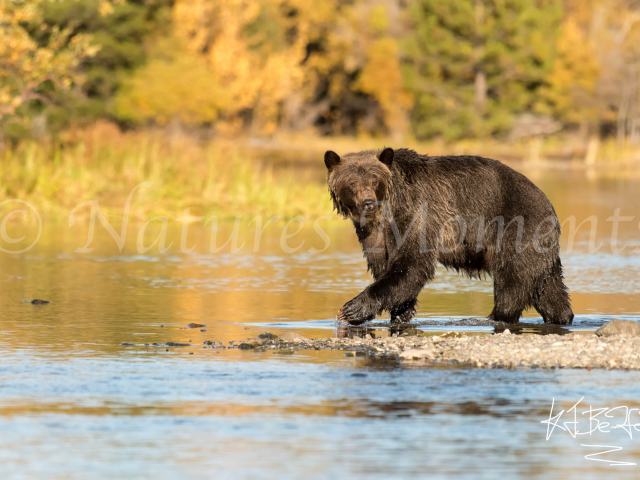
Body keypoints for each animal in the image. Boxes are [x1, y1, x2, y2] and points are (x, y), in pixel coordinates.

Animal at [324, 147, 574, 326]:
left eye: (374, 180)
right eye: (352, 183)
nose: (368, 202)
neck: (387, 209)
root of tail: (547, 203)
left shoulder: (417, 211)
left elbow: (411, 263)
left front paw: (351, 309)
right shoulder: (372, 233)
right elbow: (386, 267)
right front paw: (401, 313)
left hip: (518, 228)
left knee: (511, 283)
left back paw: (497, 316)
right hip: (541, 249)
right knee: (548, 288)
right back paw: (562, 316)